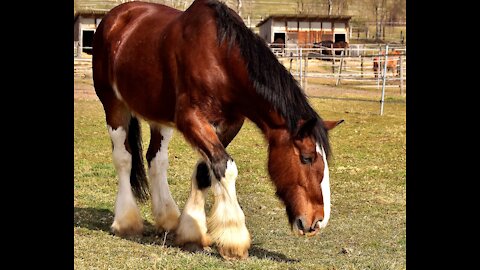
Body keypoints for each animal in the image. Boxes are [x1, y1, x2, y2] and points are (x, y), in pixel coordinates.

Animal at [92, 0, 344, 260]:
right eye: (307, 158)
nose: (318, 221)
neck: (221, 58)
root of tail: (117, 16)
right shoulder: (191, 120)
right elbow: (226, 167)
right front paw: (234, 238)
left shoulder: (229, 124)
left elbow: (206, 170)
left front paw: (191, 232)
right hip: (113, 105)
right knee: (124, 159)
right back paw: (126, 222)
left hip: (159, 116)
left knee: (156, 160)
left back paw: (168, 218)